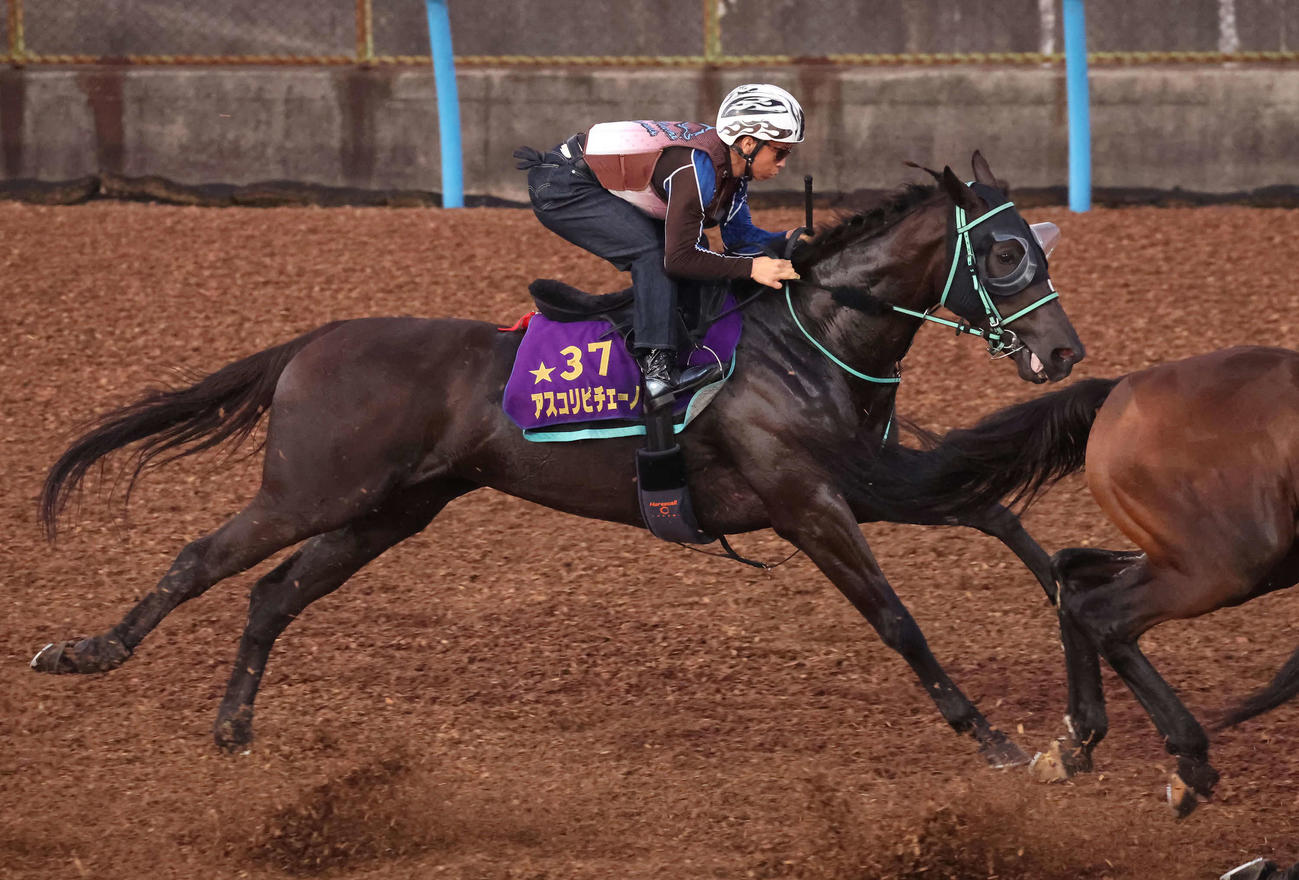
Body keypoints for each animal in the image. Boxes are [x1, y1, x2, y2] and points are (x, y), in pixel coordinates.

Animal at [30, 155, 1085, 764]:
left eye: (1036, 246)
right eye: (1002, 256)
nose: (1065, 352)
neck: (810, 335)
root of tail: (315, 339)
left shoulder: (866, 481)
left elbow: (997, 514)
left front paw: (1078, 660)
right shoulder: (806, 502)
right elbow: (897, 620)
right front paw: (989, 735)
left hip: (389, 509)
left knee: (271, 593)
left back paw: (232, 725)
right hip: (311, 489)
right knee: (200, 559)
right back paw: (86, 652)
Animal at [867, 343, 1299, 816]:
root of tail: (1120, 390)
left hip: (1195, 562)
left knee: (1069, 576)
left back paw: (1075, 744)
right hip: (1223, 568)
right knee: (1101, 614)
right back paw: (1189, 761)